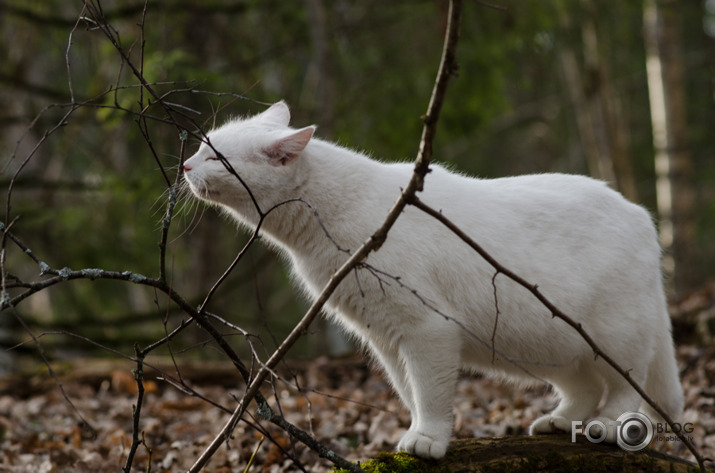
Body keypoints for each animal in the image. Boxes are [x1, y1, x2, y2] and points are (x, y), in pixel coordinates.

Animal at [183, 102, 684, 458]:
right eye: (201, 148)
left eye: (215, 156)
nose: (185, 165)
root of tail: (642, 215)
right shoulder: (387, 339)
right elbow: (411, 393)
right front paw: (421, 433)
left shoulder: (427, 330)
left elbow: (431, 391)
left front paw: (428, 441)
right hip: (553, 345)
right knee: (585, 388)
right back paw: (561, 422)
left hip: (614, 338)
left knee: (627, 389)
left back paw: (606, 427)